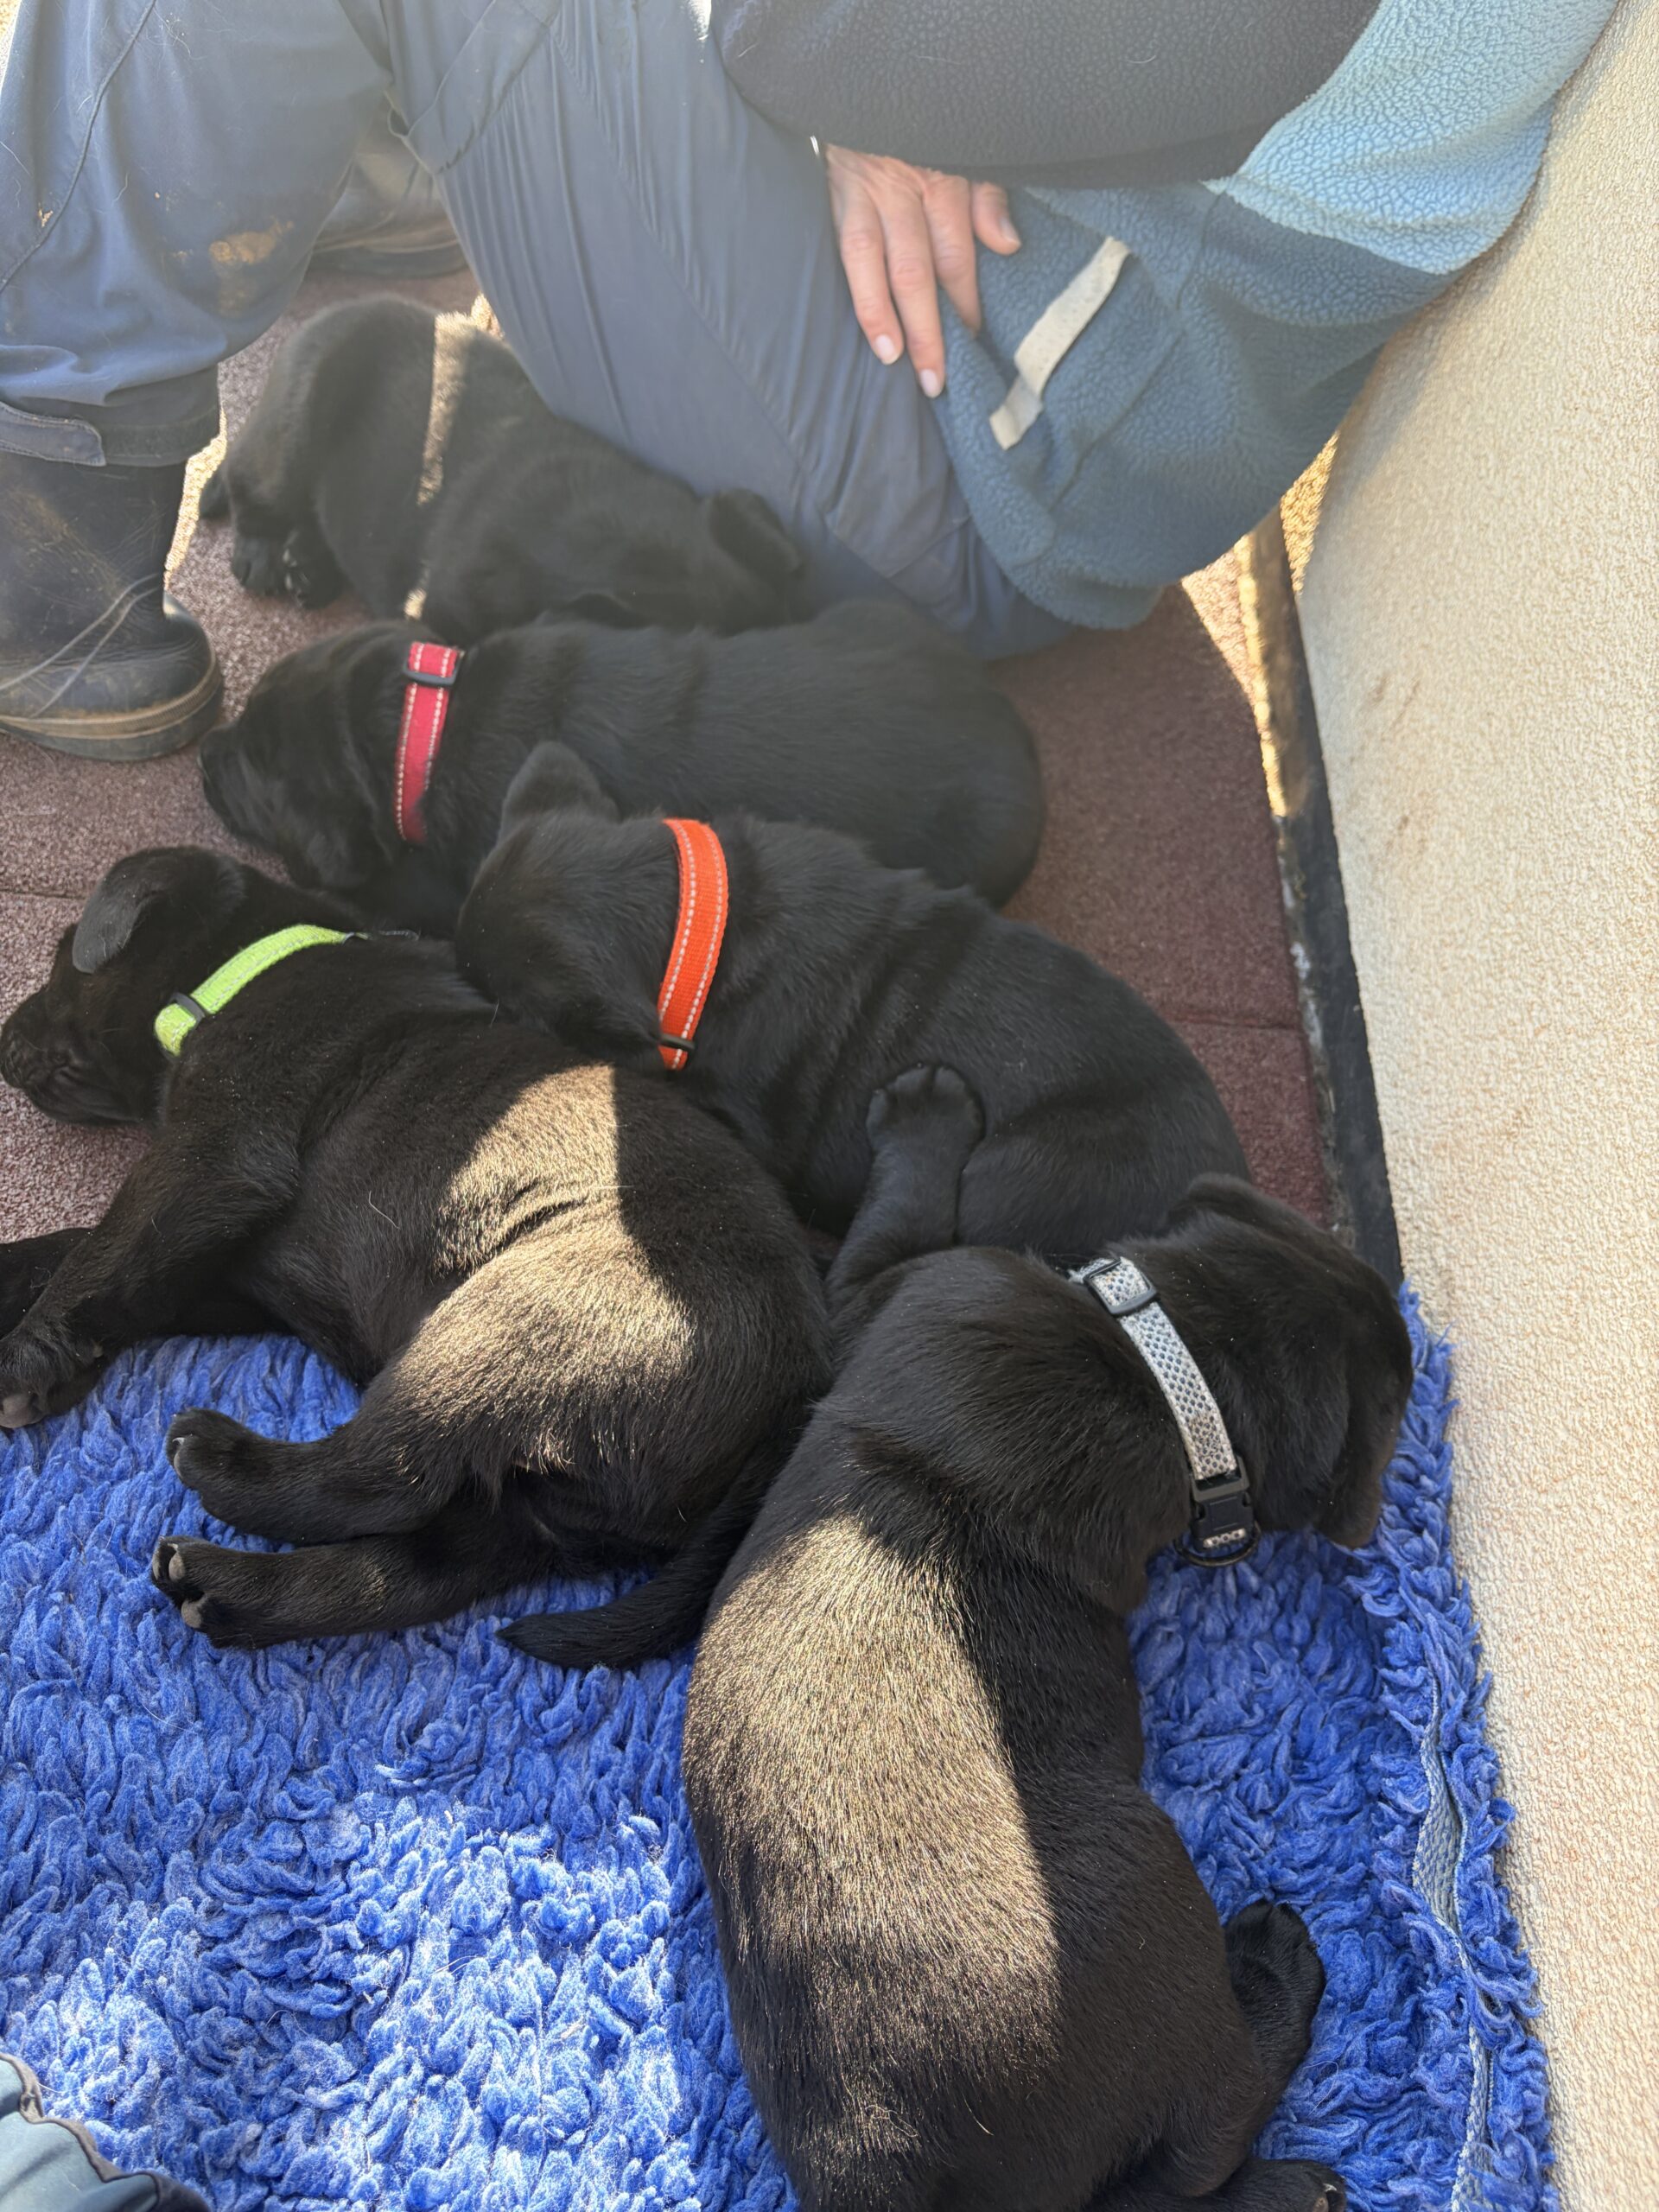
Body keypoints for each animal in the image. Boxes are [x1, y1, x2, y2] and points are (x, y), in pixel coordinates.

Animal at [0, 848, 828, 1658]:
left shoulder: (213, 1156)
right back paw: (230, 1589)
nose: (5, 1039)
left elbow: (102, 1253)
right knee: (411, 1569)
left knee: (384, 1476)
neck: (248, 963)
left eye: (61, 957)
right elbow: (83, 1258)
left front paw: (22, 1359)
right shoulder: (233, 1271)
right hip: (531, 1511)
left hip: (504, 1318)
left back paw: (227, 1465)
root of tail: (803, 1386)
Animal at [680, 1066, 1413, 2212]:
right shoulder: (894, 1287)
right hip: (1145, 1879)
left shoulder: (877, 1298)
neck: (1160, 1367)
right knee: (1199, 2138)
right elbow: (899, 1213)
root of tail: (893, 2167)